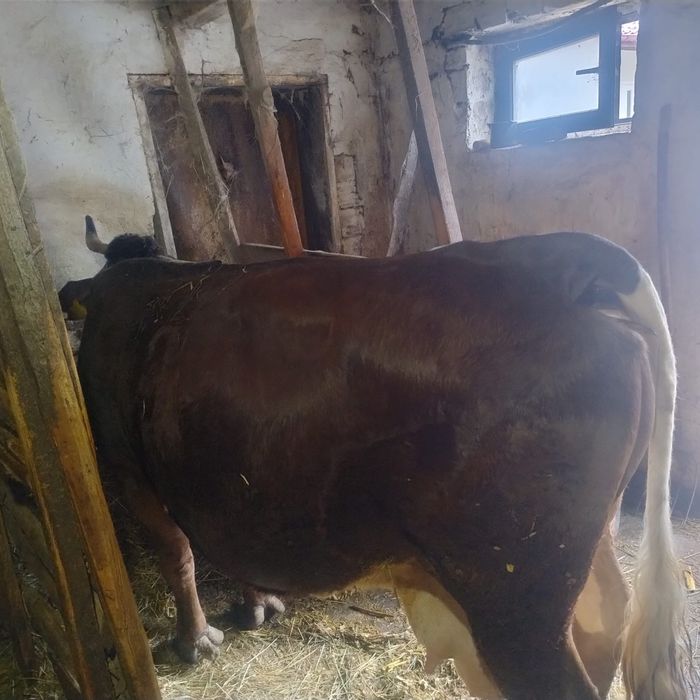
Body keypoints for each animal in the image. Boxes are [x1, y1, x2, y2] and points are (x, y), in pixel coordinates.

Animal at [60, 216, 688, 700]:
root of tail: (563, 261)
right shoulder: (219, 484)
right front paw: (258, 605)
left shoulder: (127, 467)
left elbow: (178, 555)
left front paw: (194, 642)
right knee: (606, 626)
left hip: (516, 595)